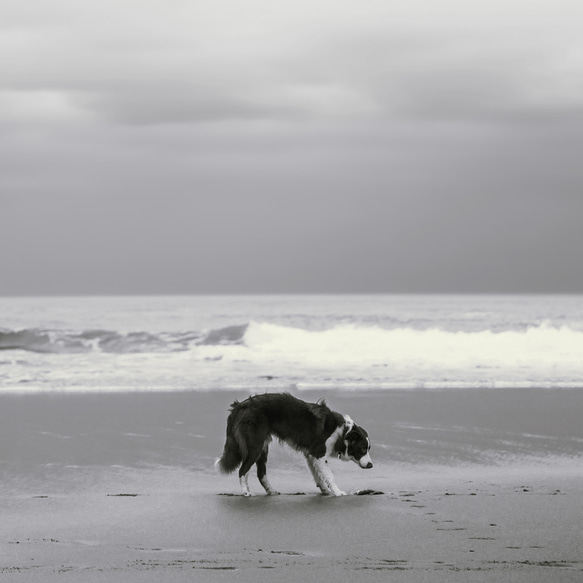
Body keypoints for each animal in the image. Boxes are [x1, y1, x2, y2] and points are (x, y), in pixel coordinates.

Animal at [216, 392, 374, 498]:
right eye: (363, 449)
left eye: (368, 449)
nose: (371, 465)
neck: (342, 432)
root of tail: (239, 406)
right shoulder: (318, 453)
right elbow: (329, 475)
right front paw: (337, 492)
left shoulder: (310, 454)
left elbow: (318, 475)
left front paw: (324, 490)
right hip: (254, 446)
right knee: (242, 470)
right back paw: (246, 492)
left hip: (262, 448)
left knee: (261, 474)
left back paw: (271, 491)